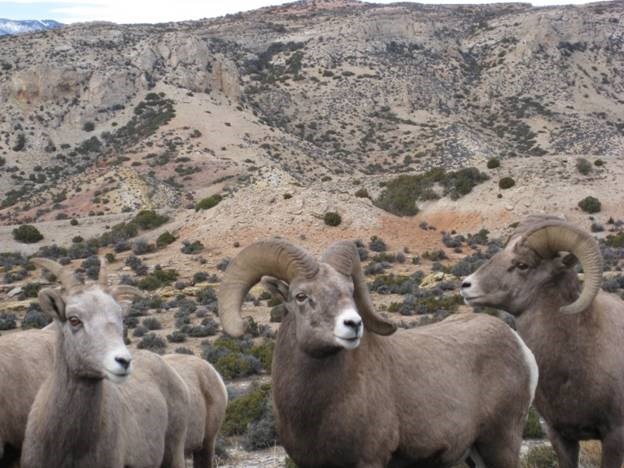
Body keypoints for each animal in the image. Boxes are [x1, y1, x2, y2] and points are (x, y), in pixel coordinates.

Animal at [218, 239, 536, 466]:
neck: (316, 408)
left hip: (500, 443)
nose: (353, 324)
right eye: (301, 296)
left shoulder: (369, 460)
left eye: (349, 290)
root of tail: (520, 346)